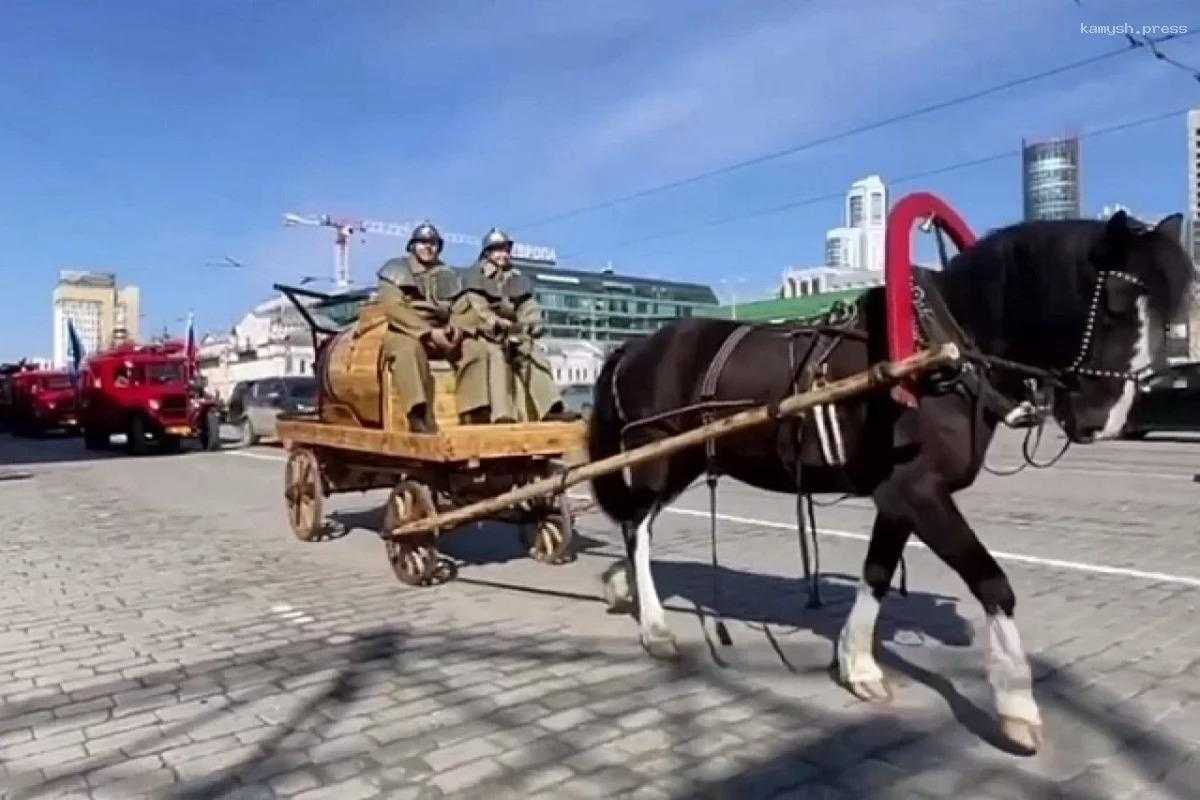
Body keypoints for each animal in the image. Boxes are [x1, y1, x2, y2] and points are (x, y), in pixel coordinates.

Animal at [588, 211, 1190, 753]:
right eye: (1113, 303)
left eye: (1168, 314)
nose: (1106, 419)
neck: (940, 351)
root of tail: (635, 346)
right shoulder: (920, 492)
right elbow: (991, 582)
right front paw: (1017, 702)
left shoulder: (899, 496)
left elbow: (876, 572)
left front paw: (858, 664)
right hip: (659, 457)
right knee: (638, 527)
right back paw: (654, 625)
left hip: (684, 462)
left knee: (637, 523)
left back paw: (622, 587)